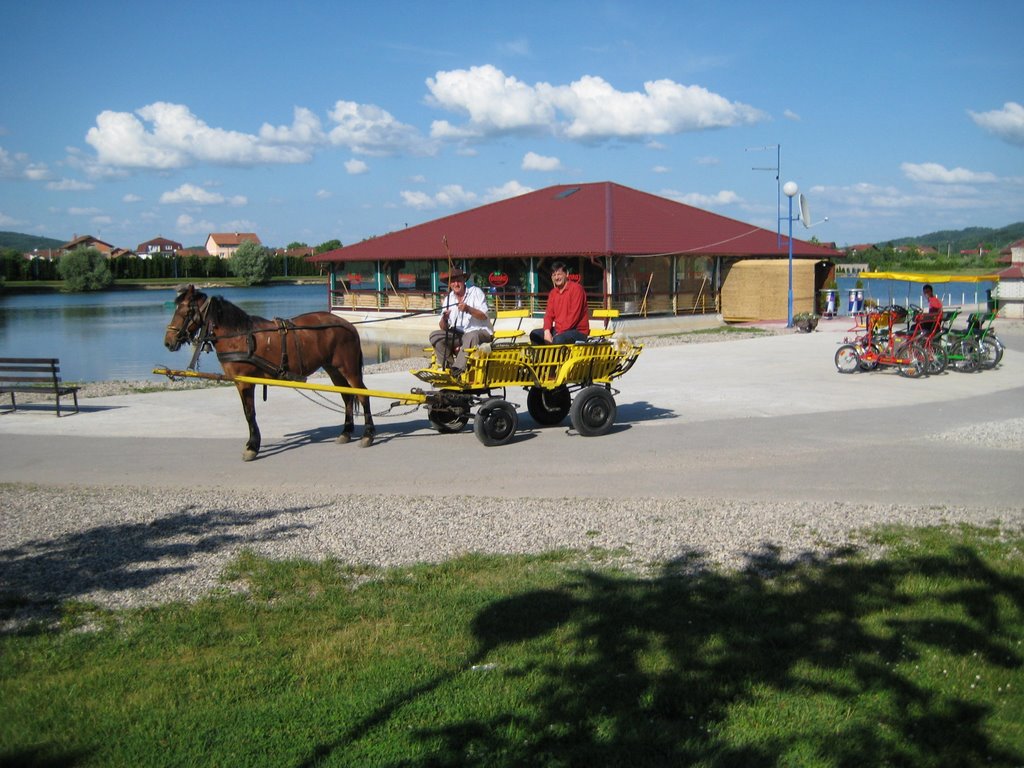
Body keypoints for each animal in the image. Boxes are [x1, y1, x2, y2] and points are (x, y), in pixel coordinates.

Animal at [163, 286, 376, 460]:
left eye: (185, 311)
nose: (168, 341)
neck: (238, 336)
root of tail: (348, 324)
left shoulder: (245, 382)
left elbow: (250, 413)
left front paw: (252, 446)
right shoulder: (240, 382)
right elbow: (248, 412)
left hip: (348, 368)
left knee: (363, 395)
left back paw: (368, 435)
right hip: (333, 369)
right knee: (347, 397)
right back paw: (346, 432)